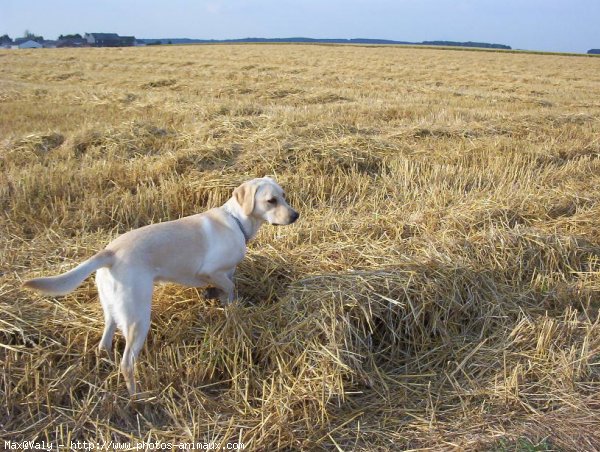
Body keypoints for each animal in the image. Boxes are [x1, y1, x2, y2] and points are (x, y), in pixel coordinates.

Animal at [23, 177, 300, 396]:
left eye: (284, 196)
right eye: (271, 200)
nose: (296, 215)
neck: (237, 221)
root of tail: (109, 252)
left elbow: (223, 292)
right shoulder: (212, 271)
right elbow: (230, 289)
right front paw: (232, 308)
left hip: (112, 311)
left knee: (104, 343)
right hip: (137, 319)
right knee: (127, 363)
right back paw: (137, 396)